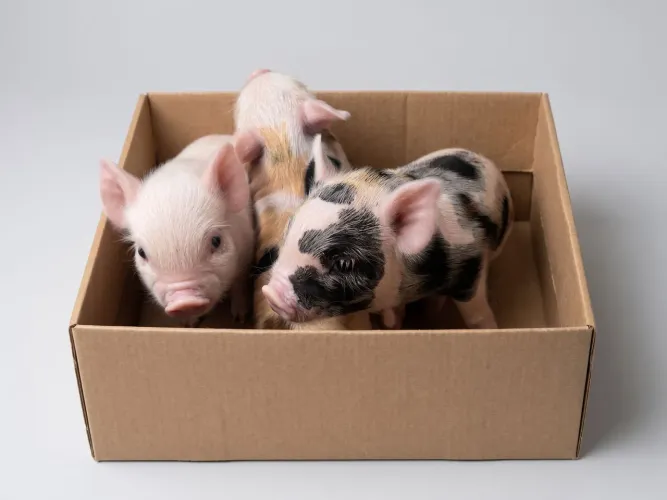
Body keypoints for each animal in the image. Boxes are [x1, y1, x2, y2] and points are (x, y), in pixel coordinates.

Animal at [98, 134, 254, 327]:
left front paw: (240, 319)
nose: (184, 302)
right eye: (141, 252)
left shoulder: (247, 249)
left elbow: (239, 284)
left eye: (216, 241)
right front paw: (189, 324)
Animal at [261, 135, 514, 330]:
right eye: (287, 233)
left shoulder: (471, 266)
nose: (271, 293)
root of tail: (483, 158)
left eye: (344, 263)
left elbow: (477, 313)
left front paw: (491, 330)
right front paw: (393, 324)